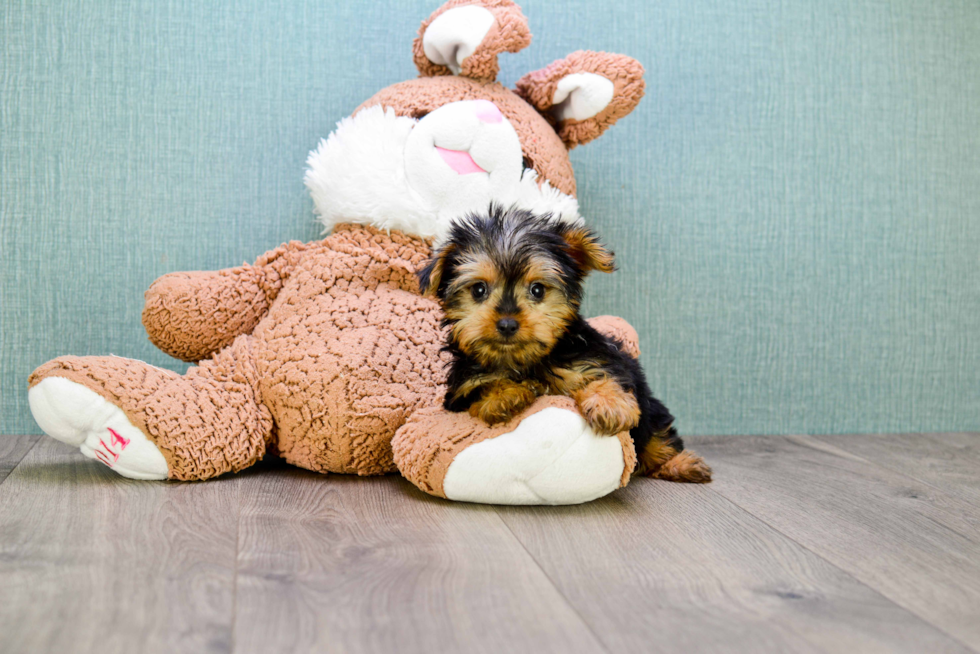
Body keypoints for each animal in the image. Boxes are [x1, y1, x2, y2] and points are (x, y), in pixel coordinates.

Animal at [416, 208, 712, 484]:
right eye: (478, 290)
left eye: (537, 290)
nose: (508, 324)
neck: (527, 360)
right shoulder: (461, 388)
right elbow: (486, 384)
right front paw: (503, 396)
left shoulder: (595, 356)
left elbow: (607, 374)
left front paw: (609, 406)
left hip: (652, 410)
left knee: (658, 439)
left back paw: (683, 464)